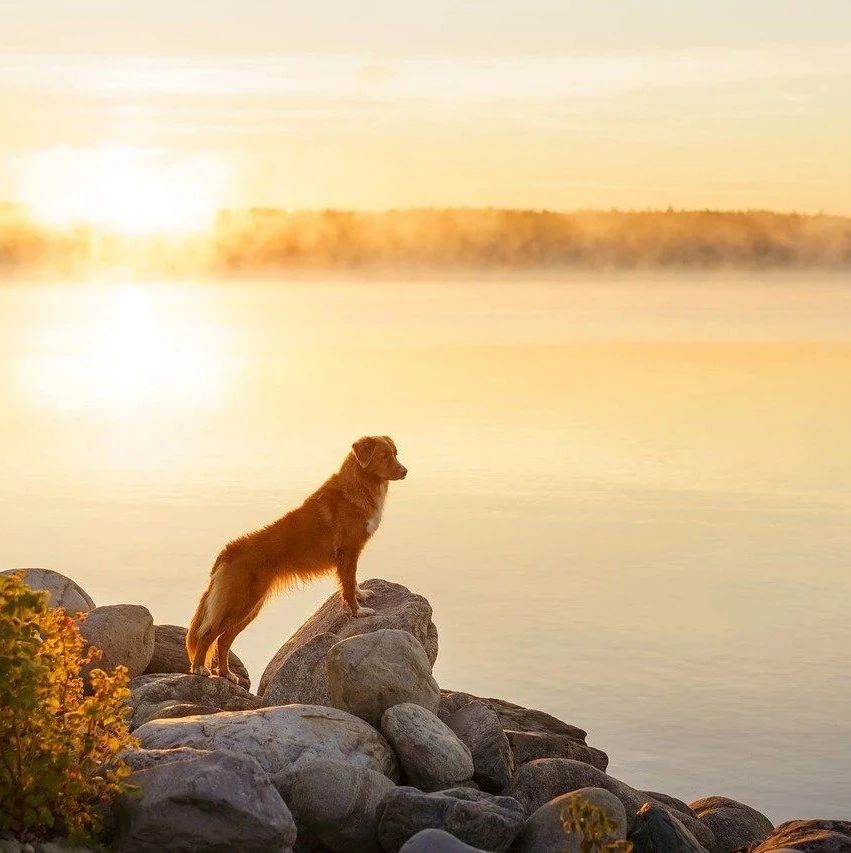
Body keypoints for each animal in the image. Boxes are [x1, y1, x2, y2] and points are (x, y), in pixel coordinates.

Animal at [184, 436, 410, 684]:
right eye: (383, 456)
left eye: (395, 454)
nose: (405, 471)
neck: (360, 484)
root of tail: (227, 551)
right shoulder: (347, 551)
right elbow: (348, 583)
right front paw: (357, 610)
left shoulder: (351, 554)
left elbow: (352, 581)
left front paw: (361, 595)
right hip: (240, 603)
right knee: (208, 635)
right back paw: (199, 669)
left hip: (251, 607)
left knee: (223, 640)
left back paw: (226, 674)